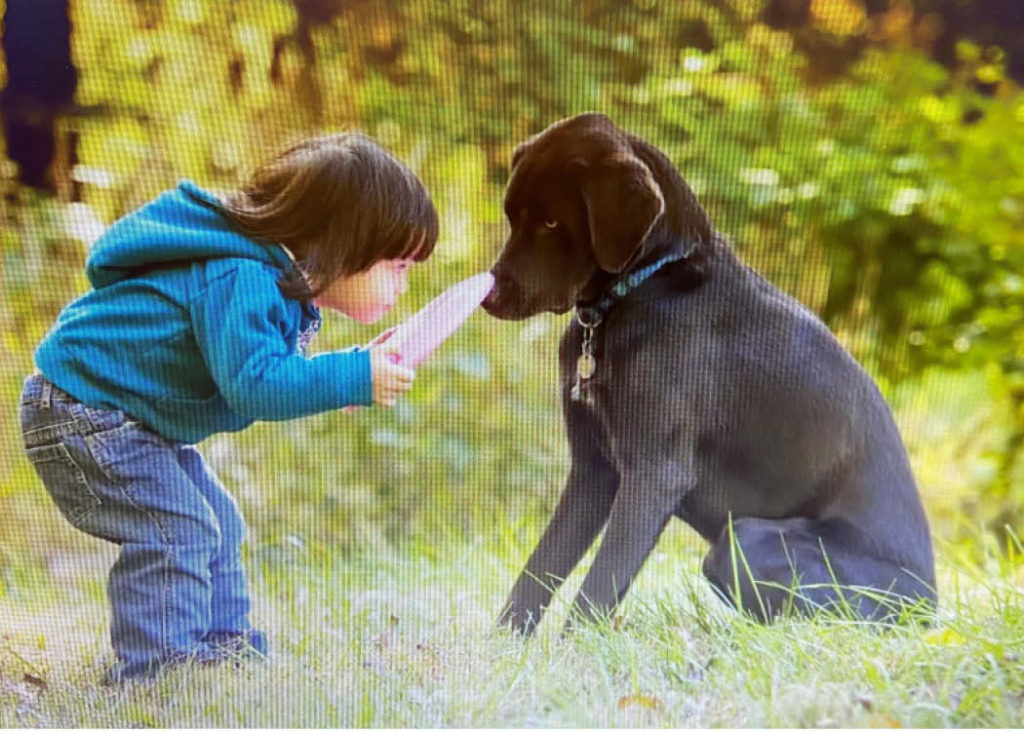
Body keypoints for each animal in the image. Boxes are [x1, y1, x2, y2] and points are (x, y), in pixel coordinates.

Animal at [479, 111, 937, 630]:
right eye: (512, 216)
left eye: (552, 221)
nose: (489, 297)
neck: (646, 286)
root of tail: (930, 605)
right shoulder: (593, 469)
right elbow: (538, 570)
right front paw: (503, 648)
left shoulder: (655, 473)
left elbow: (597, 588)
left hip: (745, 542)